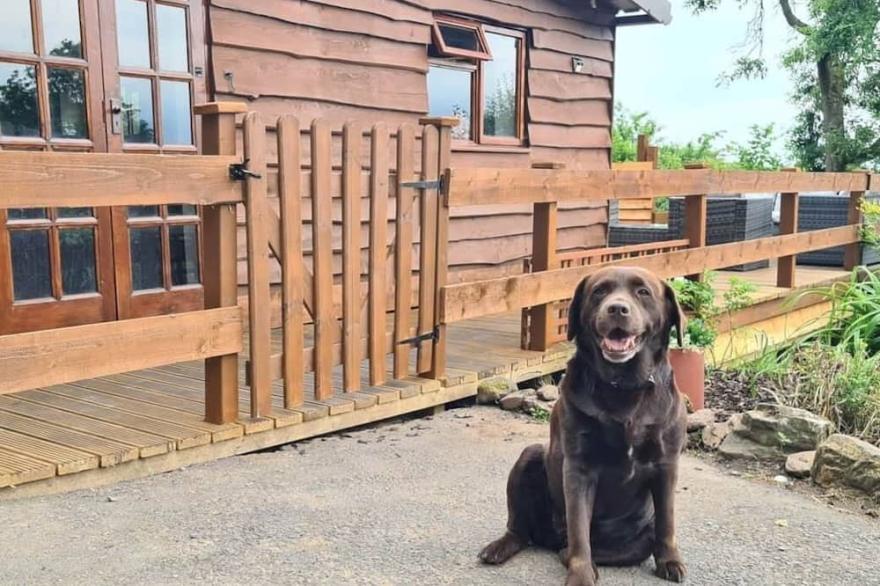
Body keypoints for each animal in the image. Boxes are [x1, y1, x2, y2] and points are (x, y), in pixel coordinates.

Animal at [482, 266, 688, 580]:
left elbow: (667, 521)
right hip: (529, 457)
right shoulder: (579, 466)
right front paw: (580, 575)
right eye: (600, 291)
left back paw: (567, 553)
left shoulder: (667, 463)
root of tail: (550, 538)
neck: (623, 385)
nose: (617, 308)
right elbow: (579, 527)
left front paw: (670, 561)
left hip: (639, 535)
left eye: (643, 292)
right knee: (521, 529)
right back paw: (501, 548)